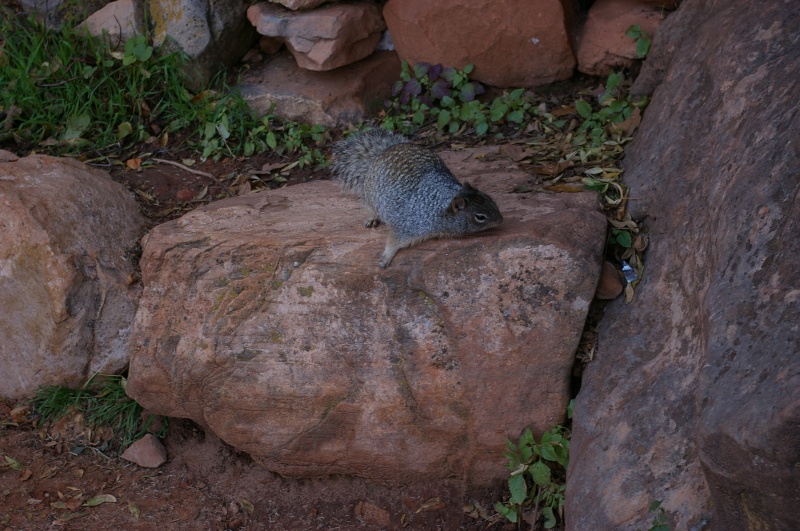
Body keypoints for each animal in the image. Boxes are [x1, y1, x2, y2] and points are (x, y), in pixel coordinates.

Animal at [331, 128, 503, 268]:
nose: (501, 220)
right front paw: (386, 257)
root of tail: (383, 152)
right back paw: (373, 217)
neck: (441, 203)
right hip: (372, 197)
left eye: (491, 199)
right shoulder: (409, 225)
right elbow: (393, 241)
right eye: (480, 217)